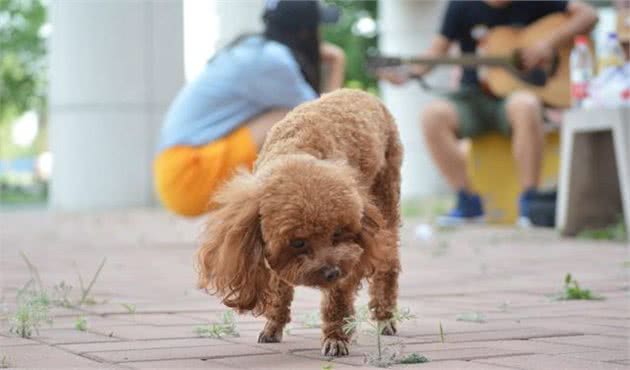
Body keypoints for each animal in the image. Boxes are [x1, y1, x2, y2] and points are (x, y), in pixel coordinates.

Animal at [199, 88, 404, 356]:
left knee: (387, 265)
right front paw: (273, 326)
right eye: (297, 242)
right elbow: (279, 288)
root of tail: (360, 92)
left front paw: (336, 338)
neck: (296, 149)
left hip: (386, 200)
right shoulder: (272, 251)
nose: (331, 271)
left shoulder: (350, 253)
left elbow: (337, 299)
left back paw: (385, 318)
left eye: (338, 233)